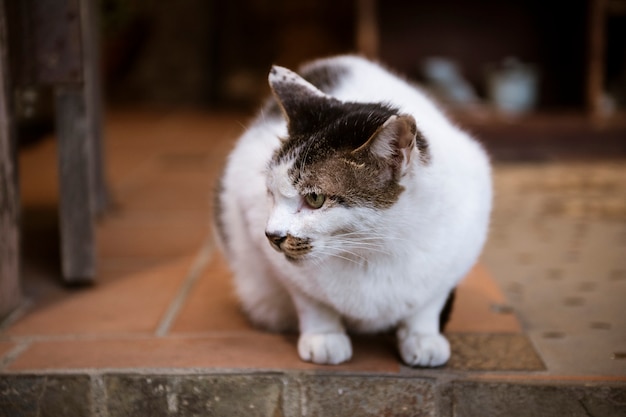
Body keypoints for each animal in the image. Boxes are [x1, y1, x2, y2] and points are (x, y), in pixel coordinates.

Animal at [212, 54, 490, 364]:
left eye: (315, 198)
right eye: (271, 193)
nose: (272, 236)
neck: (375, 249)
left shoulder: (460, 250)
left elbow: (428, 302)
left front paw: (422, 337)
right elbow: (310, 299)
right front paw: (324, 336)